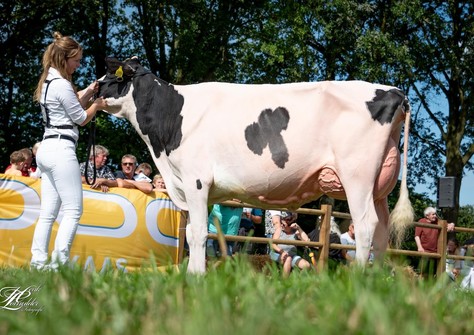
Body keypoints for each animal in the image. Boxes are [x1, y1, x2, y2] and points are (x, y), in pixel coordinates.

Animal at [98, 56, 412, 274]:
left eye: (110, 75)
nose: (93, 87)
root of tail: (394, 91)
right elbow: (195, 234)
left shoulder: (195, 181)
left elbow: (197, 234)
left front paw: (195, 277)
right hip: (380, 187)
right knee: (382, 232)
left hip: (357, 177)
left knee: (366, 226)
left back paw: (358, 278)